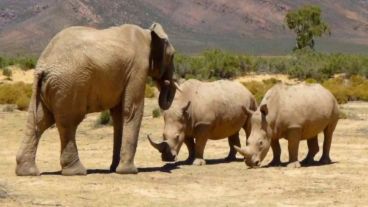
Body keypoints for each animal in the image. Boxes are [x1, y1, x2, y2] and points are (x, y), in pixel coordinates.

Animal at [16, 22, 178, 175]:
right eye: (172, 56)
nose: (167, 81)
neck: (148, 34)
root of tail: (43, 66)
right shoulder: (138, 68)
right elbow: (132, 110)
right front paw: (129, 171)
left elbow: (119, 115)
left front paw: (114, 168)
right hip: (69, 84)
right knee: (69, 122)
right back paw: (77, 172)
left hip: (48, 88)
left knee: (39, 121)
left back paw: (27, 172)